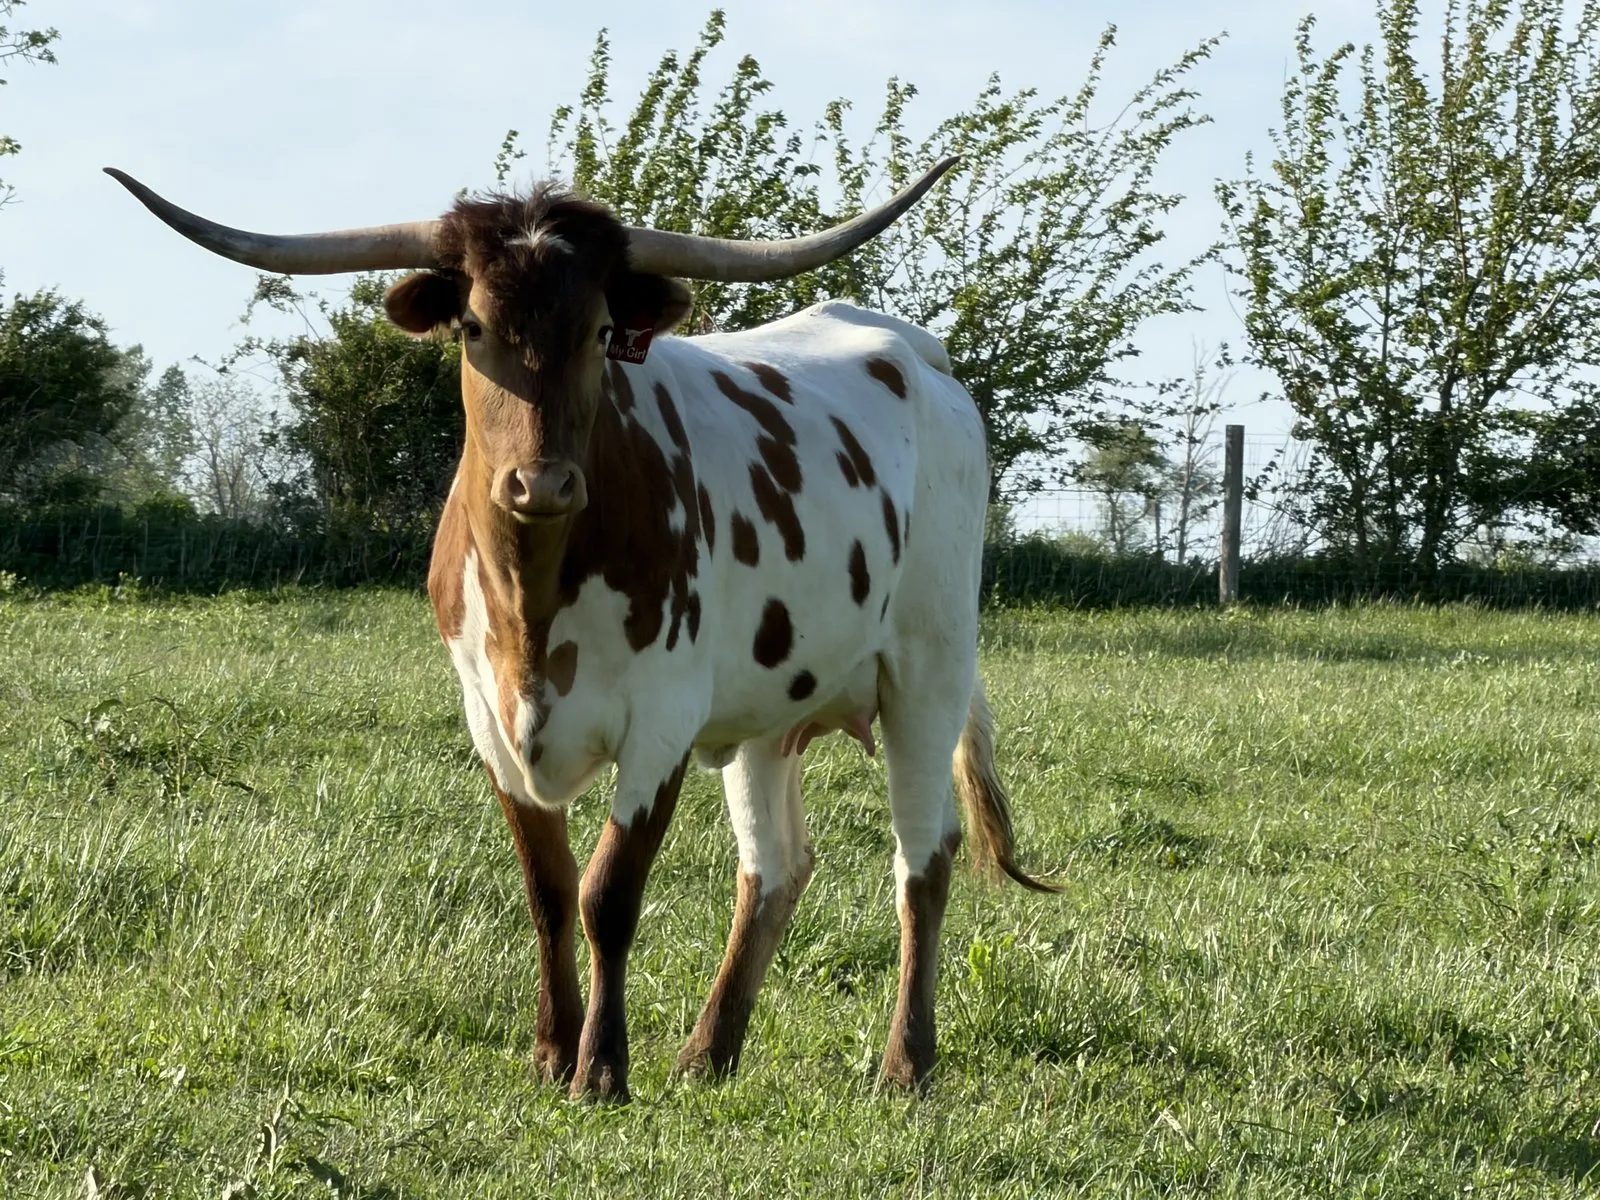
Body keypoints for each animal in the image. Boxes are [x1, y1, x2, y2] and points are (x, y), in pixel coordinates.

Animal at [107, 160, 1055, 1100]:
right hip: (769, 711)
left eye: (602, 331)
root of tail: (918, 352)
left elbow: (609, 896)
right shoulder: (488, 721)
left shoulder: (662, 723)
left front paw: (601, 1067)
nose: (544, 483)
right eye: (474, 327)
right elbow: (550, 890)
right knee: (774, 868)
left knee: (922, 860)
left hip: (928, 671)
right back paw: (707, 1054)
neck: (535, 600)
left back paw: (906, 1063)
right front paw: (551, 1051)